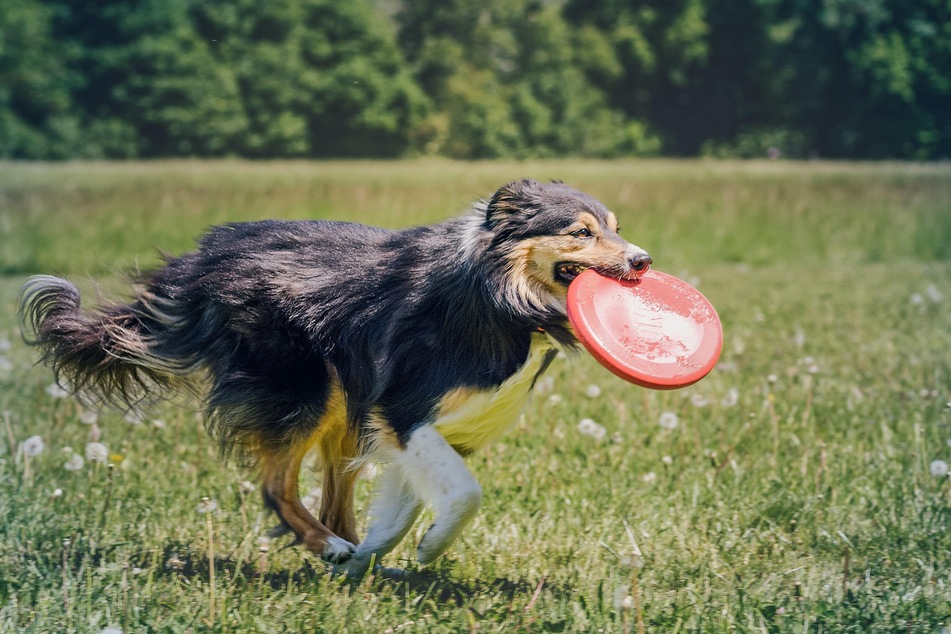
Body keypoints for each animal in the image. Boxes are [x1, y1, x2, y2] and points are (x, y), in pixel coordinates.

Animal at [20, 177, 656, 572]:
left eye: (617, 227)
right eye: (580, 232)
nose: (644, 260)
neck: (502, 295)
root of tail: (200, 263)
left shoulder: (421, 427)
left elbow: (406, 503)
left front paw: (387, 552)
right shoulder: (404, 407)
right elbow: (465, 494)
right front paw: (430, 549)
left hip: (344, 405)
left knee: (331, 499)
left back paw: (350, 557)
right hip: (307, 388)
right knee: (277, 487)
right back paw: (328, 549)